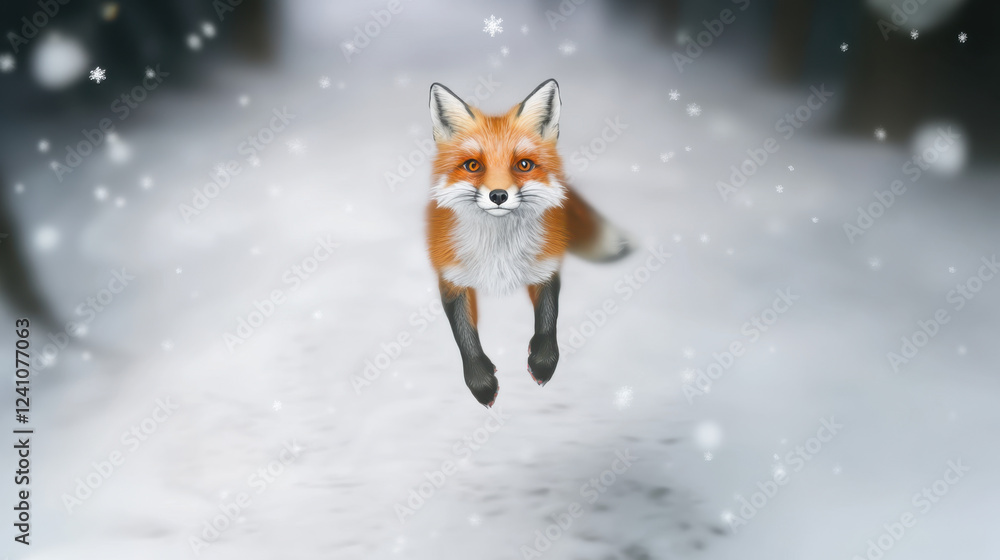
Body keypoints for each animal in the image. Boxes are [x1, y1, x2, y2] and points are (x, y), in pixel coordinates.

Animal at [426, 79, 632, 407]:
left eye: (523, 164)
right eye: (473, 166)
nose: (498, 195)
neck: (499, 252)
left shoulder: (546, 266)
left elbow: (548, 318)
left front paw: (542, 364)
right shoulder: (451, 276)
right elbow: (464, 332)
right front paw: (481, 383)